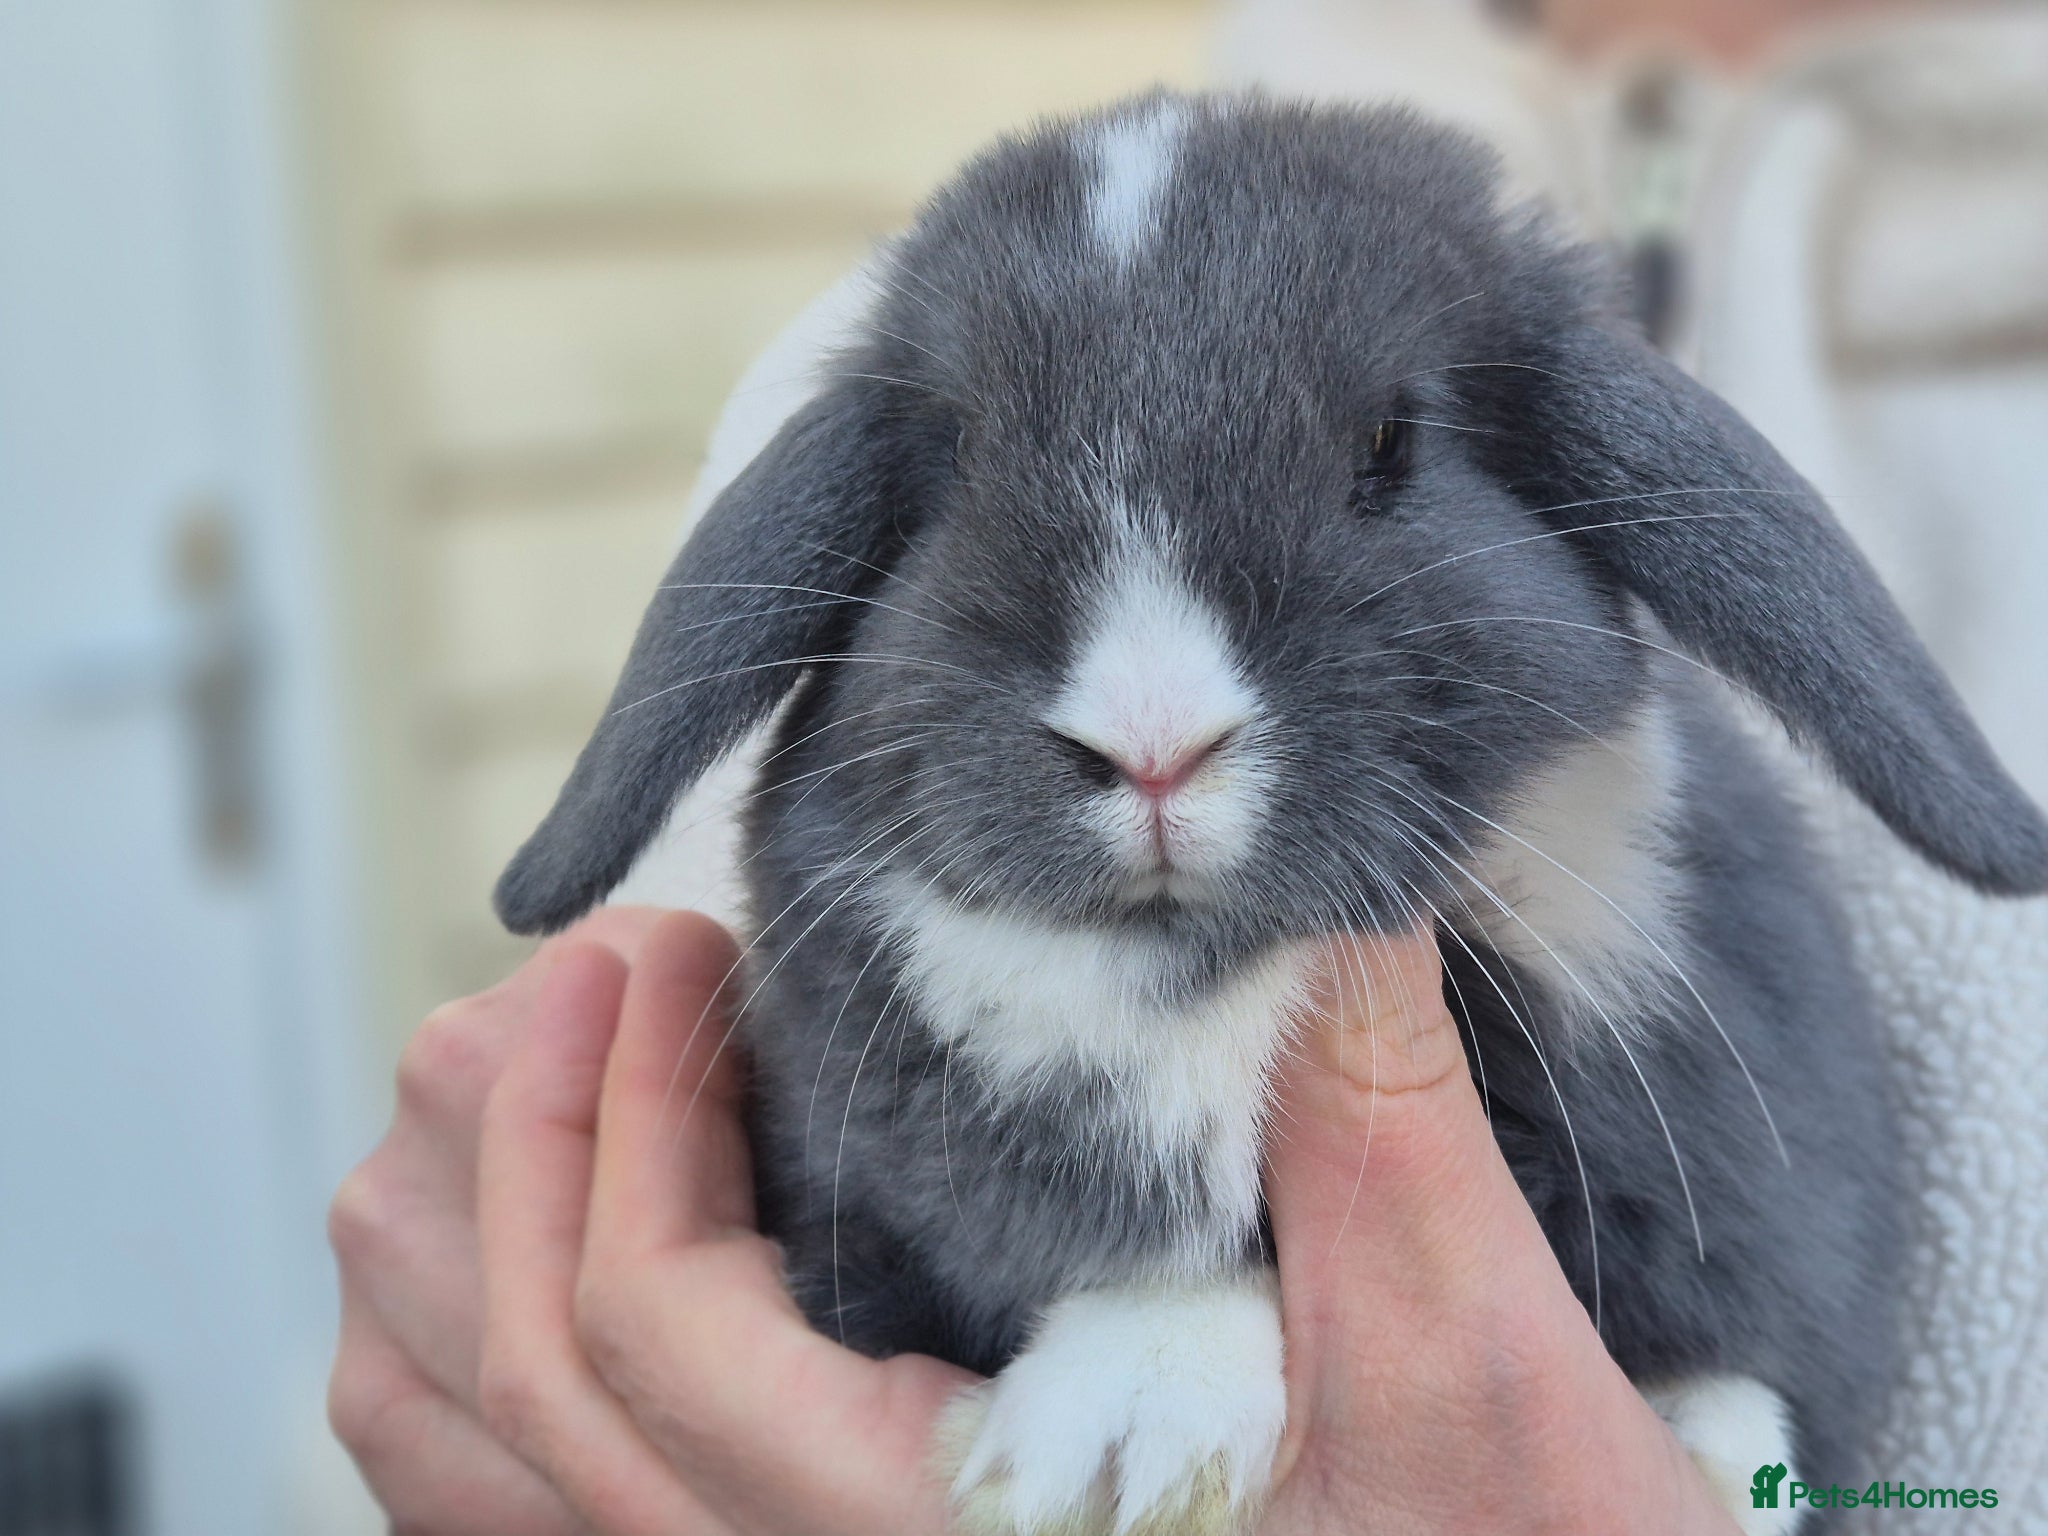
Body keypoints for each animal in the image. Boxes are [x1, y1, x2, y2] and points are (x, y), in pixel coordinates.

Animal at [495, 93, 2048, 1536]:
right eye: (953, 451)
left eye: (1391, 440)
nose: (1151, 743)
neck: (1194, 977)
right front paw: (1117, 1439)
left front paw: (1118, 1439)